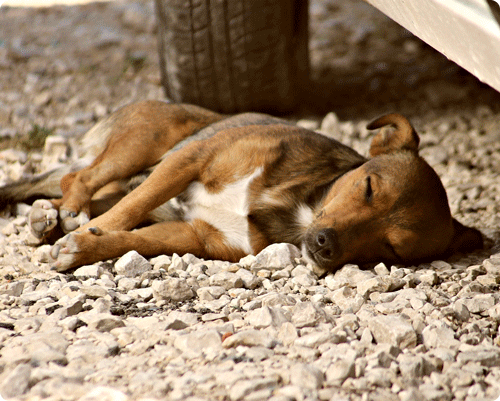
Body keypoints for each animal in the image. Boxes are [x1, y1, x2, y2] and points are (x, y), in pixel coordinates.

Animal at [0, 101, 484, 276]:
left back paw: (50, 219)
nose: (325, 245)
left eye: (393, 248)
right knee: (80, 179)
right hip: (146, 145)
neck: (299, 206)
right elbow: (129, 213)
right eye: (367, 188)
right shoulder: (190, 159)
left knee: (81, 188)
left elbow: (133, 240)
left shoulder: (199, 236)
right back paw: (66, 214)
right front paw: (85, 235)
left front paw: (86, 246)